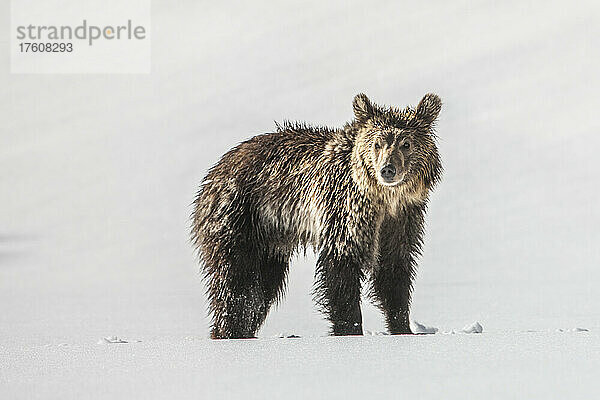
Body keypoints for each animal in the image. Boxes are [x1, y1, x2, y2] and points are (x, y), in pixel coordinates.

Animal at [191, 93, 440, 338]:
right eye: (377, 143)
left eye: (406, 144)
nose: (387, 169)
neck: (384, 199)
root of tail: (214, 171)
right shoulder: (344, 210)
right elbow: (341, 271)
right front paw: (350, 329)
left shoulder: (402, 219)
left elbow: (394, 270)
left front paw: (403, 328)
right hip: (238, 217)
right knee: (237, 284)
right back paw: (230, 331)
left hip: (269, 242)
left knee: (262, 289)